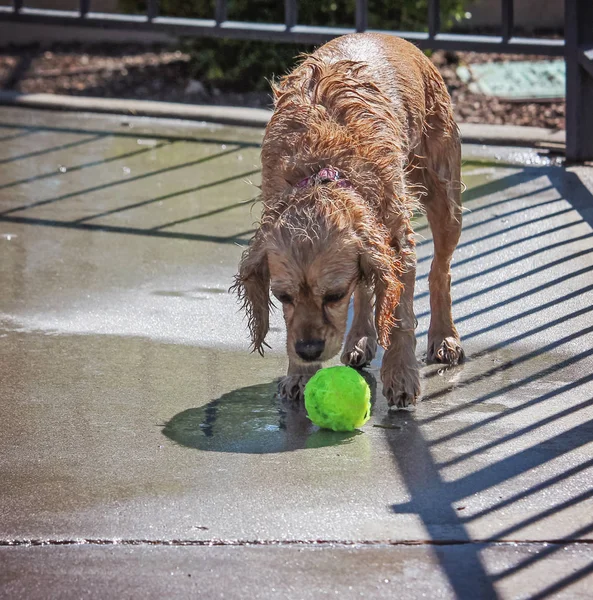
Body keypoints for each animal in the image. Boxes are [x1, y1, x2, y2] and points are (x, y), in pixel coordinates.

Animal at [231, 32, 462, 408]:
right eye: (282, 297)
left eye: (334, 295)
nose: (309, 350)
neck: (322, 170)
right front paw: (300, 373)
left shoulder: (397, 241)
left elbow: (399, 314)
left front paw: (401, 375)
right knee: (369, 286)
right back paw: (360, 339)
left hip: (445, 197)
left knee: (441, 272)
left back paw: (444, 337)